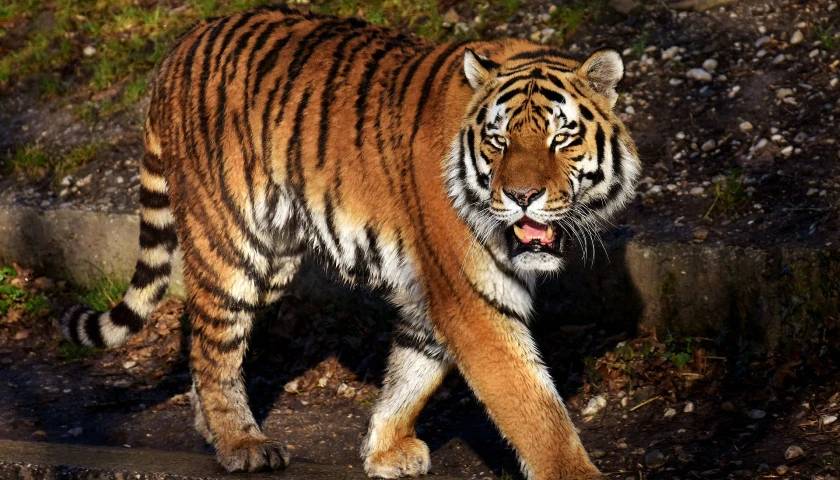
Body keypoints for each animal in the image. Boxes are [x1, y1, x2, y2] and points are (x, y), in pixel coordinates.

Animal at [60, 5, 640, 480]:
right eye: (498, 142)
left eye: (561, 138)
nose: (521, 196)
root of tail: (180, 47)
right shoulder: (472, 297)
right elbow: (533, 406)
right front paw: (573, 472)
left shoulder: (433, 293)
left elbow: (413, 371)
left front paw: (384, 450)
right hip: (230, 244)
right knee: (215, 344)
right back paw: (241, 443)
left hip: (273, 260)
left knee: (203, 335)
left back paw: (213, 430)